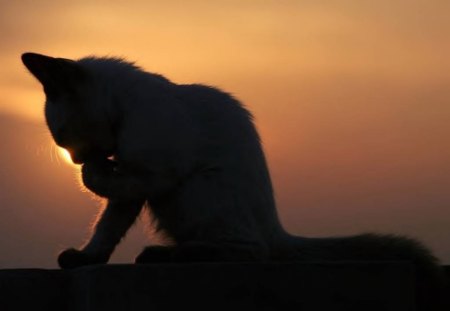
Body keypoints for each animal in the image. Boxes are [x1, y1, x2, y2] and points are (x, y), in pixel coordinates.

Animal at [22, 51, 446, 310]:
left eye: (63, 136)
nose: (76, 159)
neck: (124, 112)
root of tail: (277, 228)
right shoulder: (132, 188)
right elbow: (106, 228)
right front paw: (86, 257)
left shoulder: (155, 172)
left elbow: (108, 190)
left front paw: (89, 174)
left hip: (196, 187)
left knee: (253, 250)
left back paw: (172, 254)